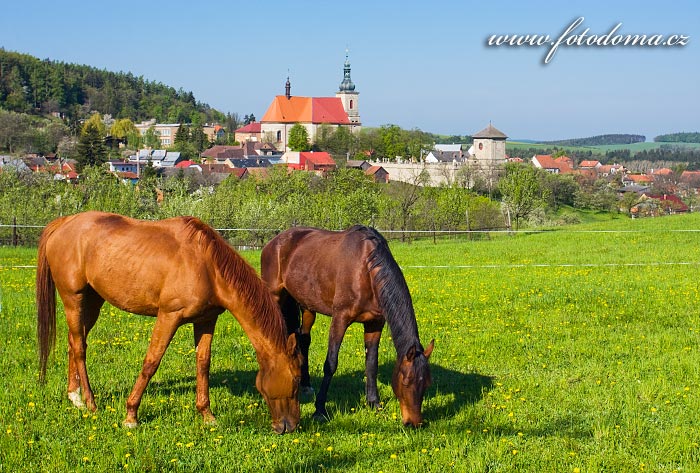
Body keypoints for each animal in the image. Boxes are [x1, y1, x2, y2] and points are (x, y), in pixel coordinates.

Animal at [37, 212, 300, 434]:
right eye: (297, 380)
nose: (291, 426)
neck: (207, 266)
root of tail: (64, 222)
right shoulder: (168, 316)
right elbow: (151, 362)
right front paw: (131, 415)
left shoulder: (207, 320)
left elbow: (203, 364)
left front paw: (207, 415)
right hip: (74, 299)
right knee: (79, 348)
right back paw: (90, 403)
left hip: (92, 302)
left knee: (74, 342)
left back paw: (75, 397)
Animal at [260, 225, 434, 428]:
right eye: (406, 382)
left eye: (427, 384)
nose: (414, 423)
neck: (366, 268)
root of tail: (274, 242)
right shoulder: (340, 319)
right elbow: (331, 364)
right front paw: (320, 410)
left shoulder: (375, 323)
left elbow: (371, 363)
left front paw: (373, 402)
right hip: (275, 297)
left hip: (307, 305)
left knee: (303, 339)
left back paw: (305, 385)